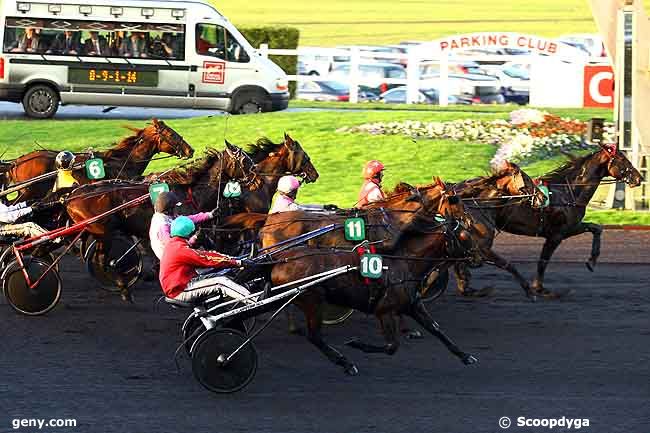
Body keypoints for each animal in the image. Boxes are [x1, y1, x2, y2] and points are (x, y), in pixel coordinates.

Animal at [494, 145, 640, 296]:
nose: (638, 178)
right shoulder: (556, 234)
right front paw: (538, 287)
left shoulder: (570, 228)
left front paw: (592, 261)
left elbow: (596, 228)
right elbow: (543, 260)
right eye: (622, 159)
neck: (568, 193)